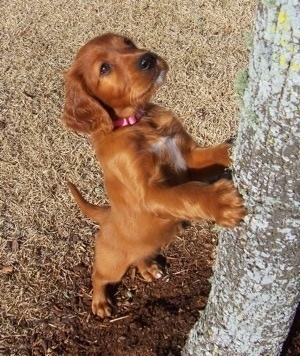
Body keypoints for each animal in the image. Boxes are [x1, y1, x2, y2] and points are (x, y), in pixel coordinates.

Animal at [61, 32, 246, 318]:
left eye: (128, 43)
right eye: (104, 68)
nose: (147, 58)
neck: (139, 123)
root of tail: (106, 216)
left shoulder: (188, 157)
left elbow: (213, 155)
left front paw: (233, 148)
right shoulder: (149, 192)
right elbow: (187, 193)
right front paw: (221, 202)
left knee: (140, 255)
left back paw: (147, 267)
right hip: (111, 262)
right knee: (98, 275)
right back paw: (100, 302)